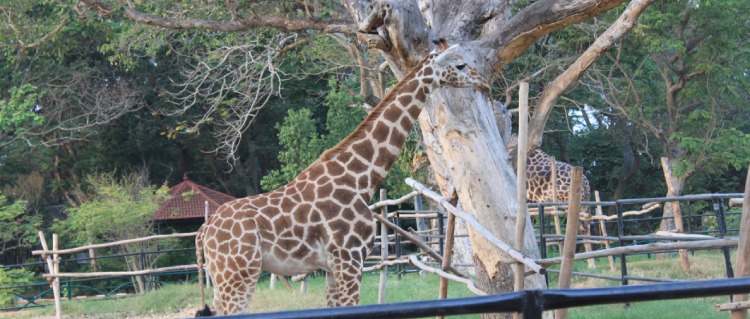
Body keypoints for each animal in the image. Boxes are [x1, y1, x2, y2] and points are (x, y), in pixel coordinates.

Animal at [192, 38, 494, 316]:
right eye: (460, 65)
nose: (486, 84)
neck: (362, 180)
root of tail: (204, 231)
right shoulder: (350, 259)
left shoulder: (333, 267)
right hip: (239, 273)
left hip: (224, 277)